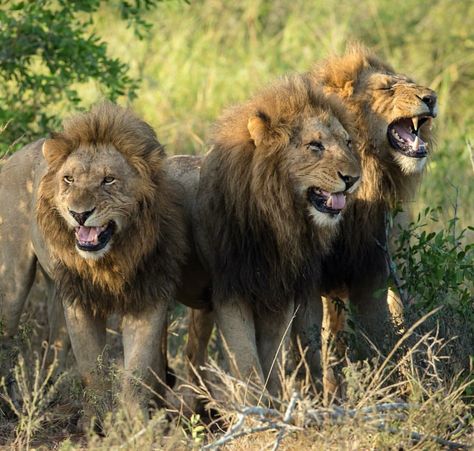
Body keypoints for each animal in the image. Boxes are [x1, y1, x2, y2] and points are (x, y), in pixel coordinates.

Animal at [0, 102, 188, 420]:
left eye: (108, 179)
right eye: (69, 179)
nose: (79, 214)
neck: (112, 259)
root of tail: (16, 153)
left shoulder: (149, 295)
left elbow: (138, 370)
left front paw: (138, 423)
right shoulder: (80, 301)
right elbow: (92, 369)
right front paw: (97, 422)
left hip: (56, 293)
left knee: (55, 347)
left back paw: (47, 396)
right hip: (12, 285)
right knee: (7, 341)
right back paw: (11, 405)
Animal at [177, 73, 360, 396]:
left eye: (348, 142)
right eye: (315, 145)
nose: (353, 178)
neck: (278, 220)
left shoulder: (278, 295)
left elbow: (271, 362)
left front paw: (274, 402)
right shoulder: (231, 293)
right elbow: (248, 363)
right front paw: (255, 406)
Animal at [296, 44, 436, 368]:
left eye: (410, 82)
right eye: (386, 88)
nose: (432, 99)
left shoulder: (373, 270)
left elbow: (376, 333)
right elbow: (321, 343)